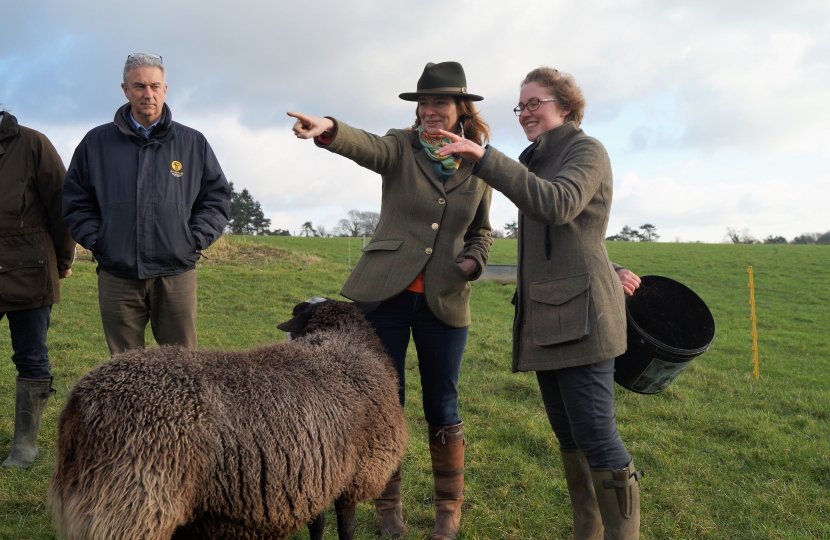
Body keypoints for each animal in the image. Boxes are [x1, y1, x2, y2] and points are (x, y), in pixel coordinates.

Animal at [48, 302, 406, 540]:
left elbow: (318, 523)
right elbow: (346, 527)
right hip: (133, 506)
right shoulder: (357, 472)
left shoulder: (319, 471)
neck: (341, 342)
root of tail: (80, 404)